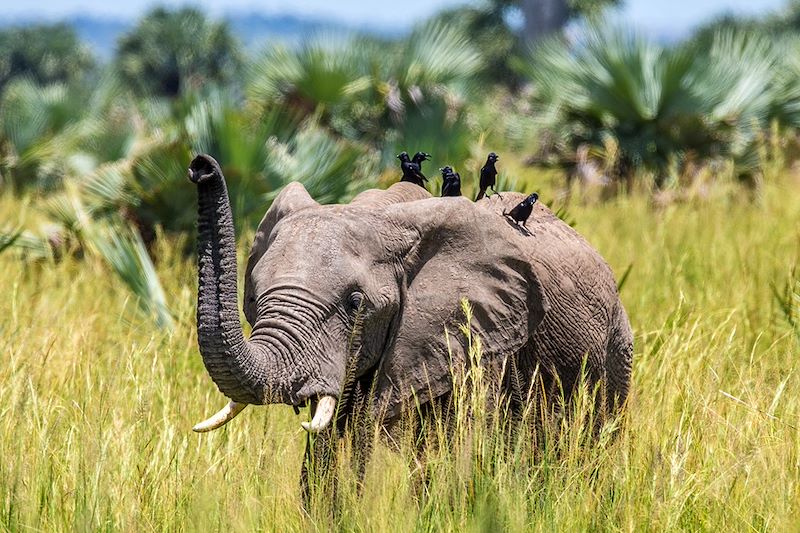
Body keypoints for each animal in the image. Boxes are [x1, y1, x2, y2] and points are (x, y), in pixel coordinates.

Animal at [186, 153, 632, 490]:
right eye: (255, 296)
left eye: (355, 304)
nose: (200, 167)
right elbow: (330, 454)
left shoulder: (479, 339)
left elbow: (458, 451)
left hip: (616, 349)